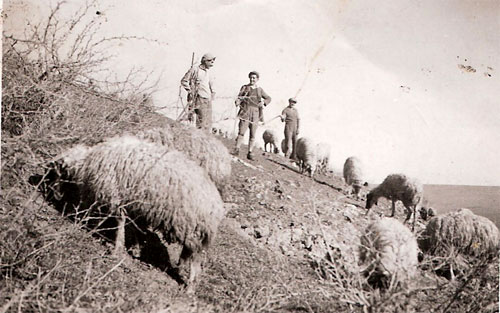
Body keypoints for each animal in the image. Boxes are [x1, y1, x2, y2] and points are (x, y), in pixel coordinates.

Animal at [40, 135, 226, 284]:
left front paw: (114, 246)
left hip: (194, 230)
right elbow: (133, 227)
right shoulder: (133, 205)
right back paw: (180, 269)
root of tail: (217, 206)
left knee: (196, 262)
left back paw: (190, 287)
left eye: (55, 172)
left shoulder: (114, 195)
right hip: (193, 232)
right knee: (188, 256)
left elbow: (117, 222)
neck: (86, 164)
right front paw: (134, 248)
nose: (53, 196)